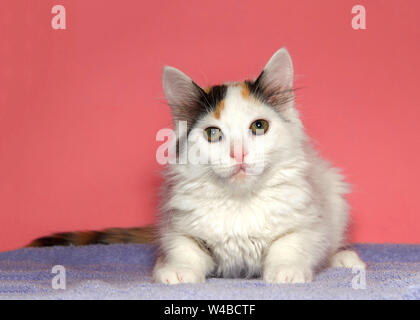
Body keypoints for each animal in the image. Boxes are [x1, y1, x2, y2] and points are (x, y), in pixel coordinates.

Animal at [29, 47, 364, 282]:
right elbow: (184, 250)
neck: (239, 201)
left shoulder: (309, 221)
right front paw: (176, 271)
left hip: (334, 195)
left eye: (259, 127)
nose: (239, 154)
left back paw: (345, 259)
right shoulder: (178, 228)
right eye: (213, 133)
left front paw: (286, 270)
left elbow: (292, 245)